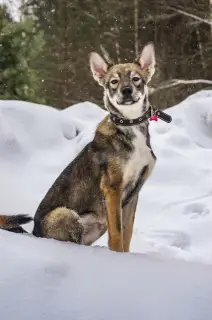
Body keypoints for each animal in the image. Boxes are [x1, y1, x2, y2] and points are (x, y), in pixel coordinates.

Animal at [0, 42, 157, 252]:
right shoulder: (113, 187)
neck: (129, 125)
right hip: (66, 214)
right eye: (113, 82)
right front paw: (117, 257)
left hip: (97, 224)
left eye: (136, 79)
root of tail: (35, 234)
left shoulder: (133, 193)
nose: (126, 90)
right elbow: (117, 235)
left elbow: (127, 233)